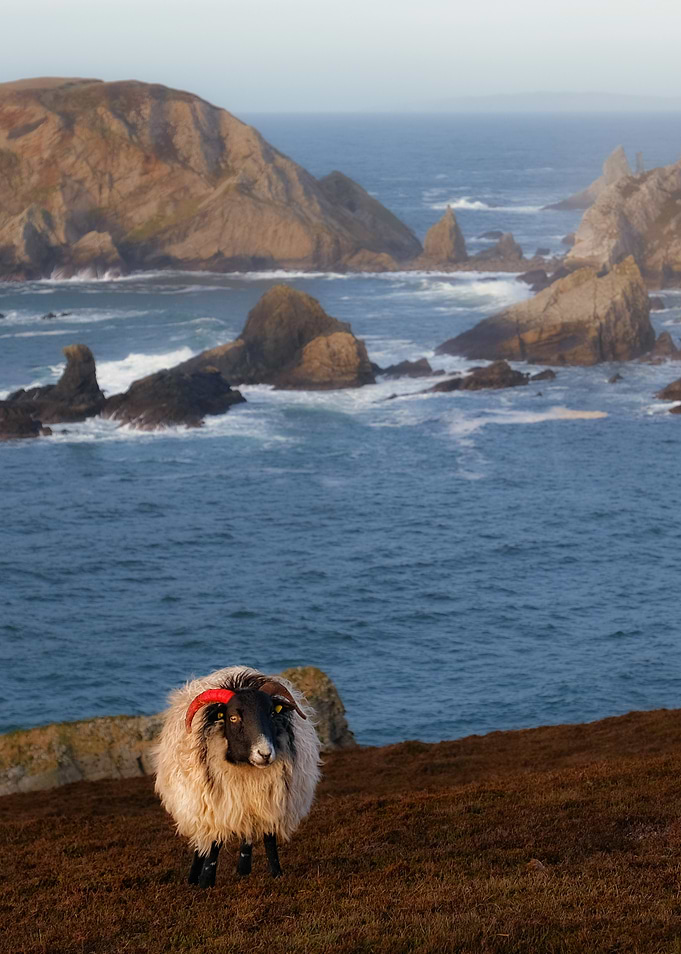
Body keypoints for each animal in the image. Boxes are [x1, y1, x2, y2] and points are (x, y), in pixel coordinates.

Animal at [154, 666, 321, 886]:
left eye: (271, 713)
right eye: (233, 717)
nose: (265, 753)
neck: (245, 767)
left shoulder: (269, 802)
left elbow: (269, 840)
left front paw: (276, 873)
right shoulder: (214, 808)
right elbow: (213, 846)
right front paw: (206, 882)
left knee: (247, 835)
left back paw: (243, 868)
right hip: (196, 806)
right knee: (201, 842)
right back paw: (193, 877)